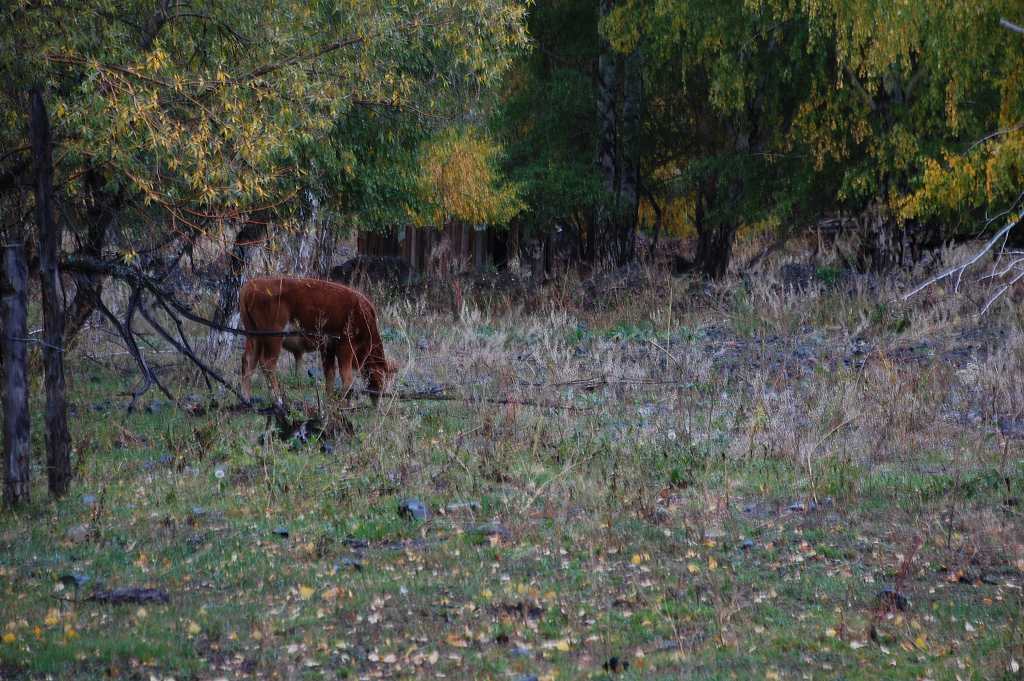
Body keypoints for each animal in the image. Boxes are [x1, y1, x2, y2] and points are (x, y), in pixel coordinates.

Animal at [239, 276, 395, 403]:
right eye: (383, 378)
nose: (378, 400)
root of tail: (252, 285)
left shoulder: (328, 347)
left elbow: (330, 374)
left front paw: (329, 400)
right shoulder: (345, 346)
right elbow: (346, 378)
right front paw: (341, 402)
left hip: (254, 336)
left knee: (249, 360)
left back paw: (246, 398)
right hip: (273, 337)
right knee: (267, 363)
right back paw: (277, 399)